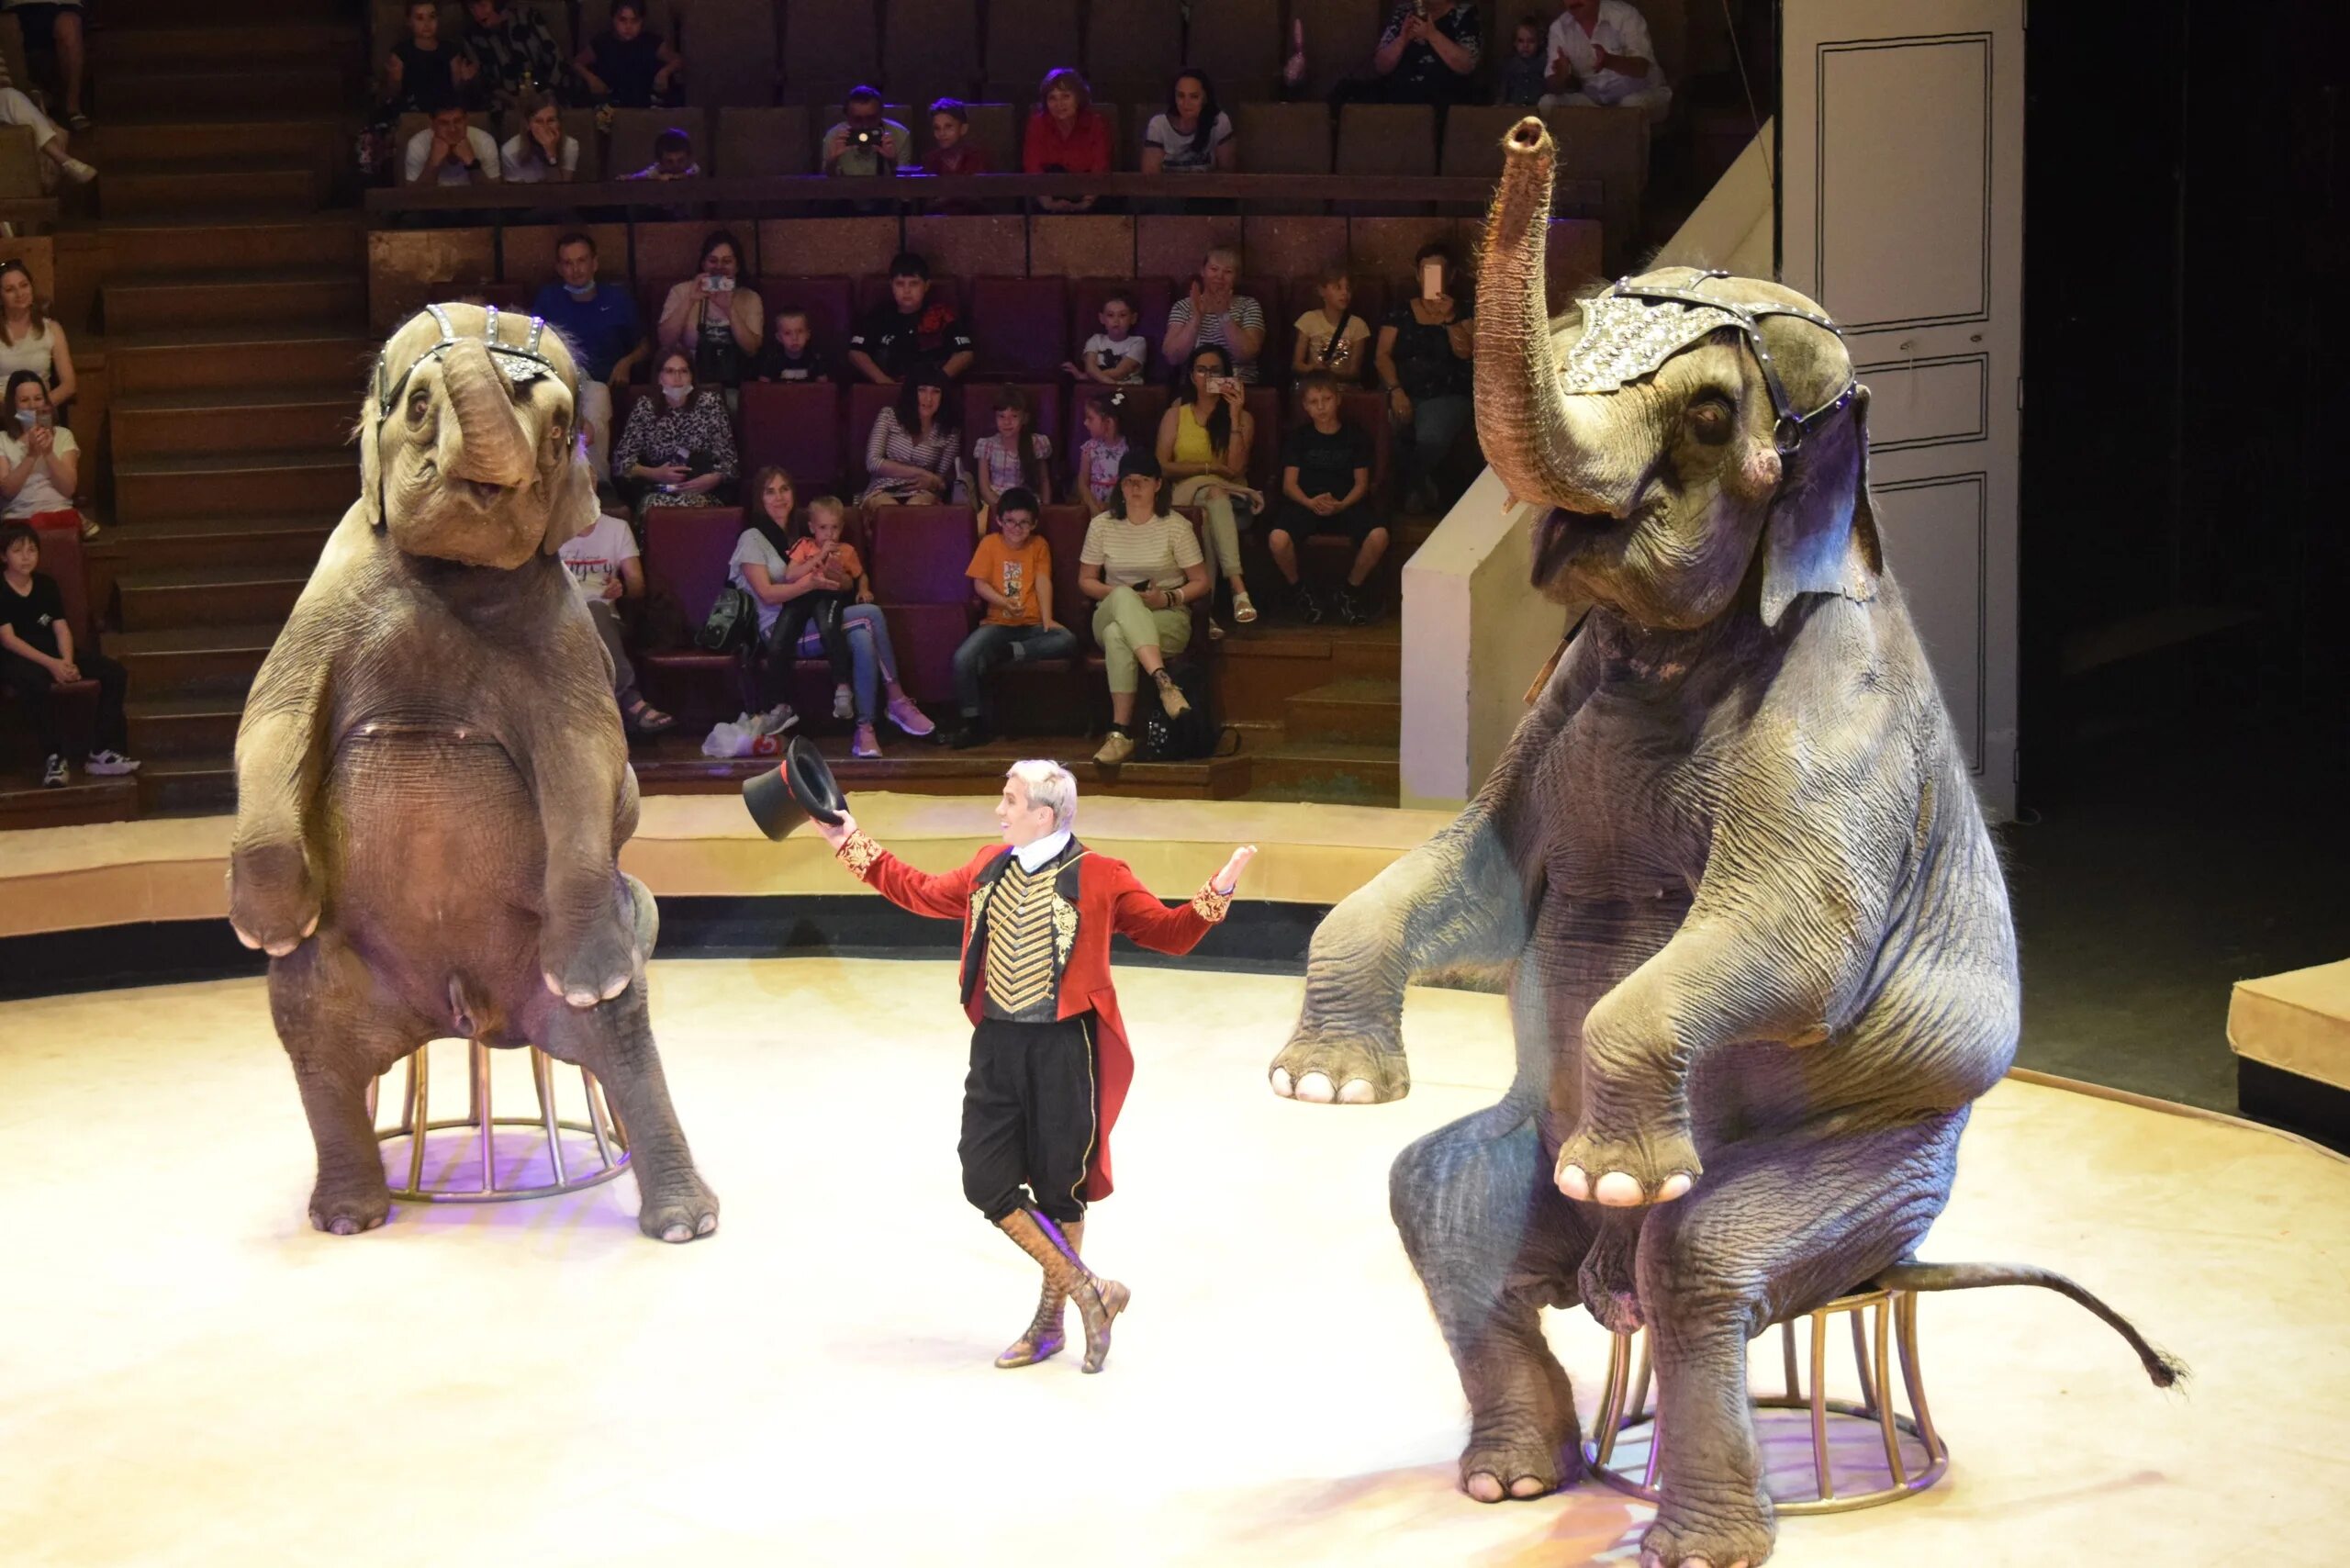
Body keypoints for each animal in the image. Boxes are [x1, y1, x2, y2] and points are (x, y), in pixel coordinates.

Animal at [236, 300, 723, 1241]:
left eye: (565, 429)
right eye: (419, 405)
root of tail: (464, 1015)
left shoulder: (562, 626)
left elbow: (591, 761)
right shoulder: (321, 602)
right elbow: (267, 722)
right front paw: (270, 922)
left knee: (616, 1036)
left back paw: (682, 1220)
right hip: (346, 980)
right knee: (312, 1030)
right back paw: (349, 1215)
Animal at [1269, 125, 2180, 1568]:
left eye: (1707, 416)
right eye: (1570, 333)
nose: (1530, 132)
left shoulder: (1839, 710)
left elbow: (1794, 939)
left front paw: (1608, 1161)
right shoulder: (1558, 700)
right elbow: (1471, 879)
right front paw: (1323, 1091)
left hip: (1880, 1169)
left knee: (1699, 1262)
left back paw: (1684, 1505)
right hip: (1541, 1174)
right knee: (1444, 1200)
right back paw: (1515, 1479)